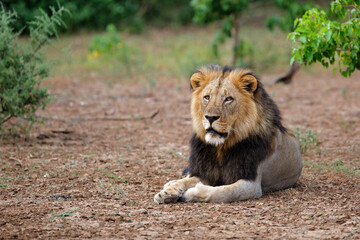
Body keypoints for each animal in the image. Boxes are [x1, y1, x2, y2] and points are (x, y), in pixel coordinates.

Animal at [153, 64, 302, 203]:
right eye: (207, 97)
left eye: (228, 99)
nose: (210, 117)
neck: (221, 147)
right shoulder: (208, 172)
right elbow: (187, 180)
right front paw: (166, 193)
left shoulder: (252, 184)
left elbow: (223, 191)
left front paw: (191, 192)